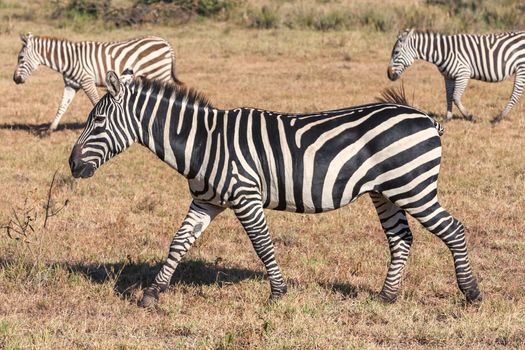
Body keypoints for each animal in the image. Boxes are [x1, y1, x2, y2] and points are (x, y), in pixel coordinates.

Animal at [12, 32, 180, 131]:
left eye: (20, 58)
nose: (15, 79)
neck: (69, 59)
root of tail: (165, 42)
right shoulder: (71, 85)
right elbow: (62, 106)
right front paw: (50, 130)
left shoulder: (87, 81)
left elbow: (95, 102)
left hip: (160, 73)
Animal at [69, 69, 484, 308]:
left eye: (98, 121)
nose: (72, 165)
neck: (203, 142)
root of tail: (426, 117)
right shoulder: (206, 201)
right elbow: (178, 242)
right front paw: (153, 294)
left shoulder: (245, 196)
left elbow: (263, 245)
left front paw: (278, 294)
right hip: (386, 192)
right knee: (401, 239)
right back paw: (386, 298)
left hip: (413, 186)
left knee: (453, 230)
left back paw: (471, 293)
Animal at [384, 28, 524, 124]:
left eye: (396, 52)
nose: (388, 74)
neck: (443, 52)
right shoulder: (448, 77)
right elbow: (448, 96)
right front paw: (448, 118)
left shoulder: (463, 74)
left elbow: (456, 97)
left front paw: (470, 117)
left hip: (521, 68)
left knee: (515, 95)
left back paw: (498, 118)